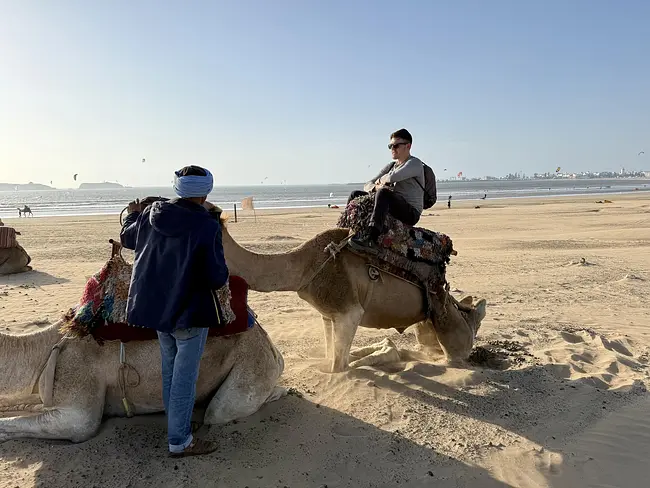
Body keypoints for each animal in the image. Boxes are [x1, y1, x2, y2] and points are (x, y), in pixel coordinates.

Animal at [220, 222, 487, 373]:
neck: (306, 266)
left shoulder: (348, 310)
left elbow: (339, 366)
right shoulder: (328, 314)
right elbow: (331, 352)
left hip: (444, 316)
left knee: (454, 352)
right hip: (428, 320)